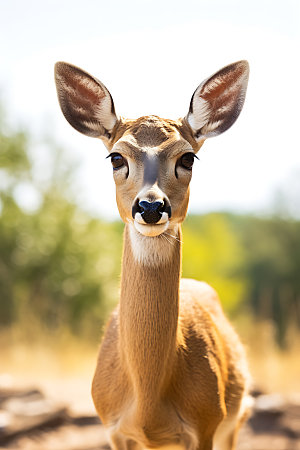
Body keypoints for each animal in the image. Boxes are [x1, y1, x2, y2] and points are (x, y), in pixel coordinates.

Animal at [55, 60, 252, 450]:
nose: (150, 206)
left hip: (236, 420)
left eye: (188, 157)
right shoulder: (114, 428)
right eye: (116, 156)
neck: (148, 404)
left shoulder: (207, 425)